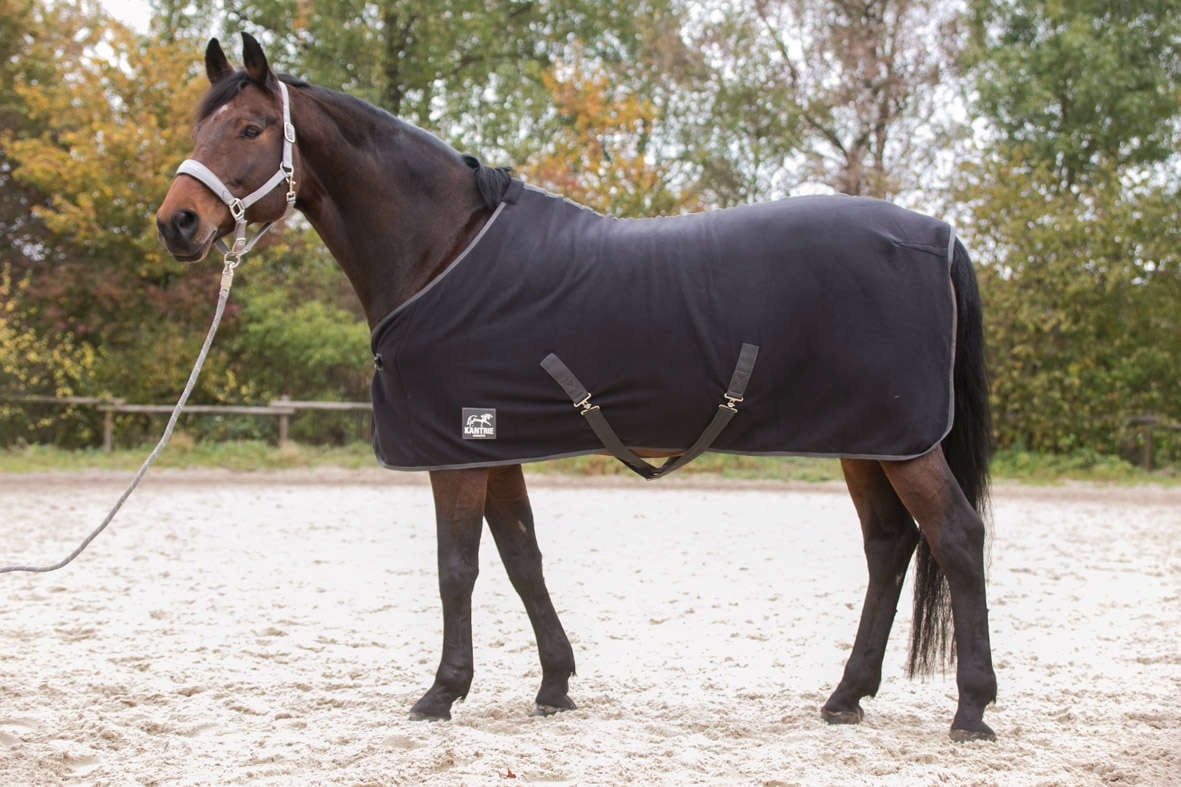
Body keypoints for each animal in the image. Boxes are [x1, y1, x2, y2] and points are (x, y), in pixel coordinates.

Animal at [154, 33, 996, 737]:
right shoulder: (490, 441)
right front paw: (554, 683)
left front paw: (441, 691)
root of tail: (939, 235)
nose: (177, 223)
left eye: (251, 129)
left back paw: (971, 709)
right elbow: (521, 555)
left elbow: (456, 566)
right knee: (888, 545)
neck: (444, 251)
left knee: (954, 536)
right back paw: (846, 695)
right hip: (869, 438)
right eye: (202, 128)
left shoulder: (455, 445)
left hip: (903, 443)